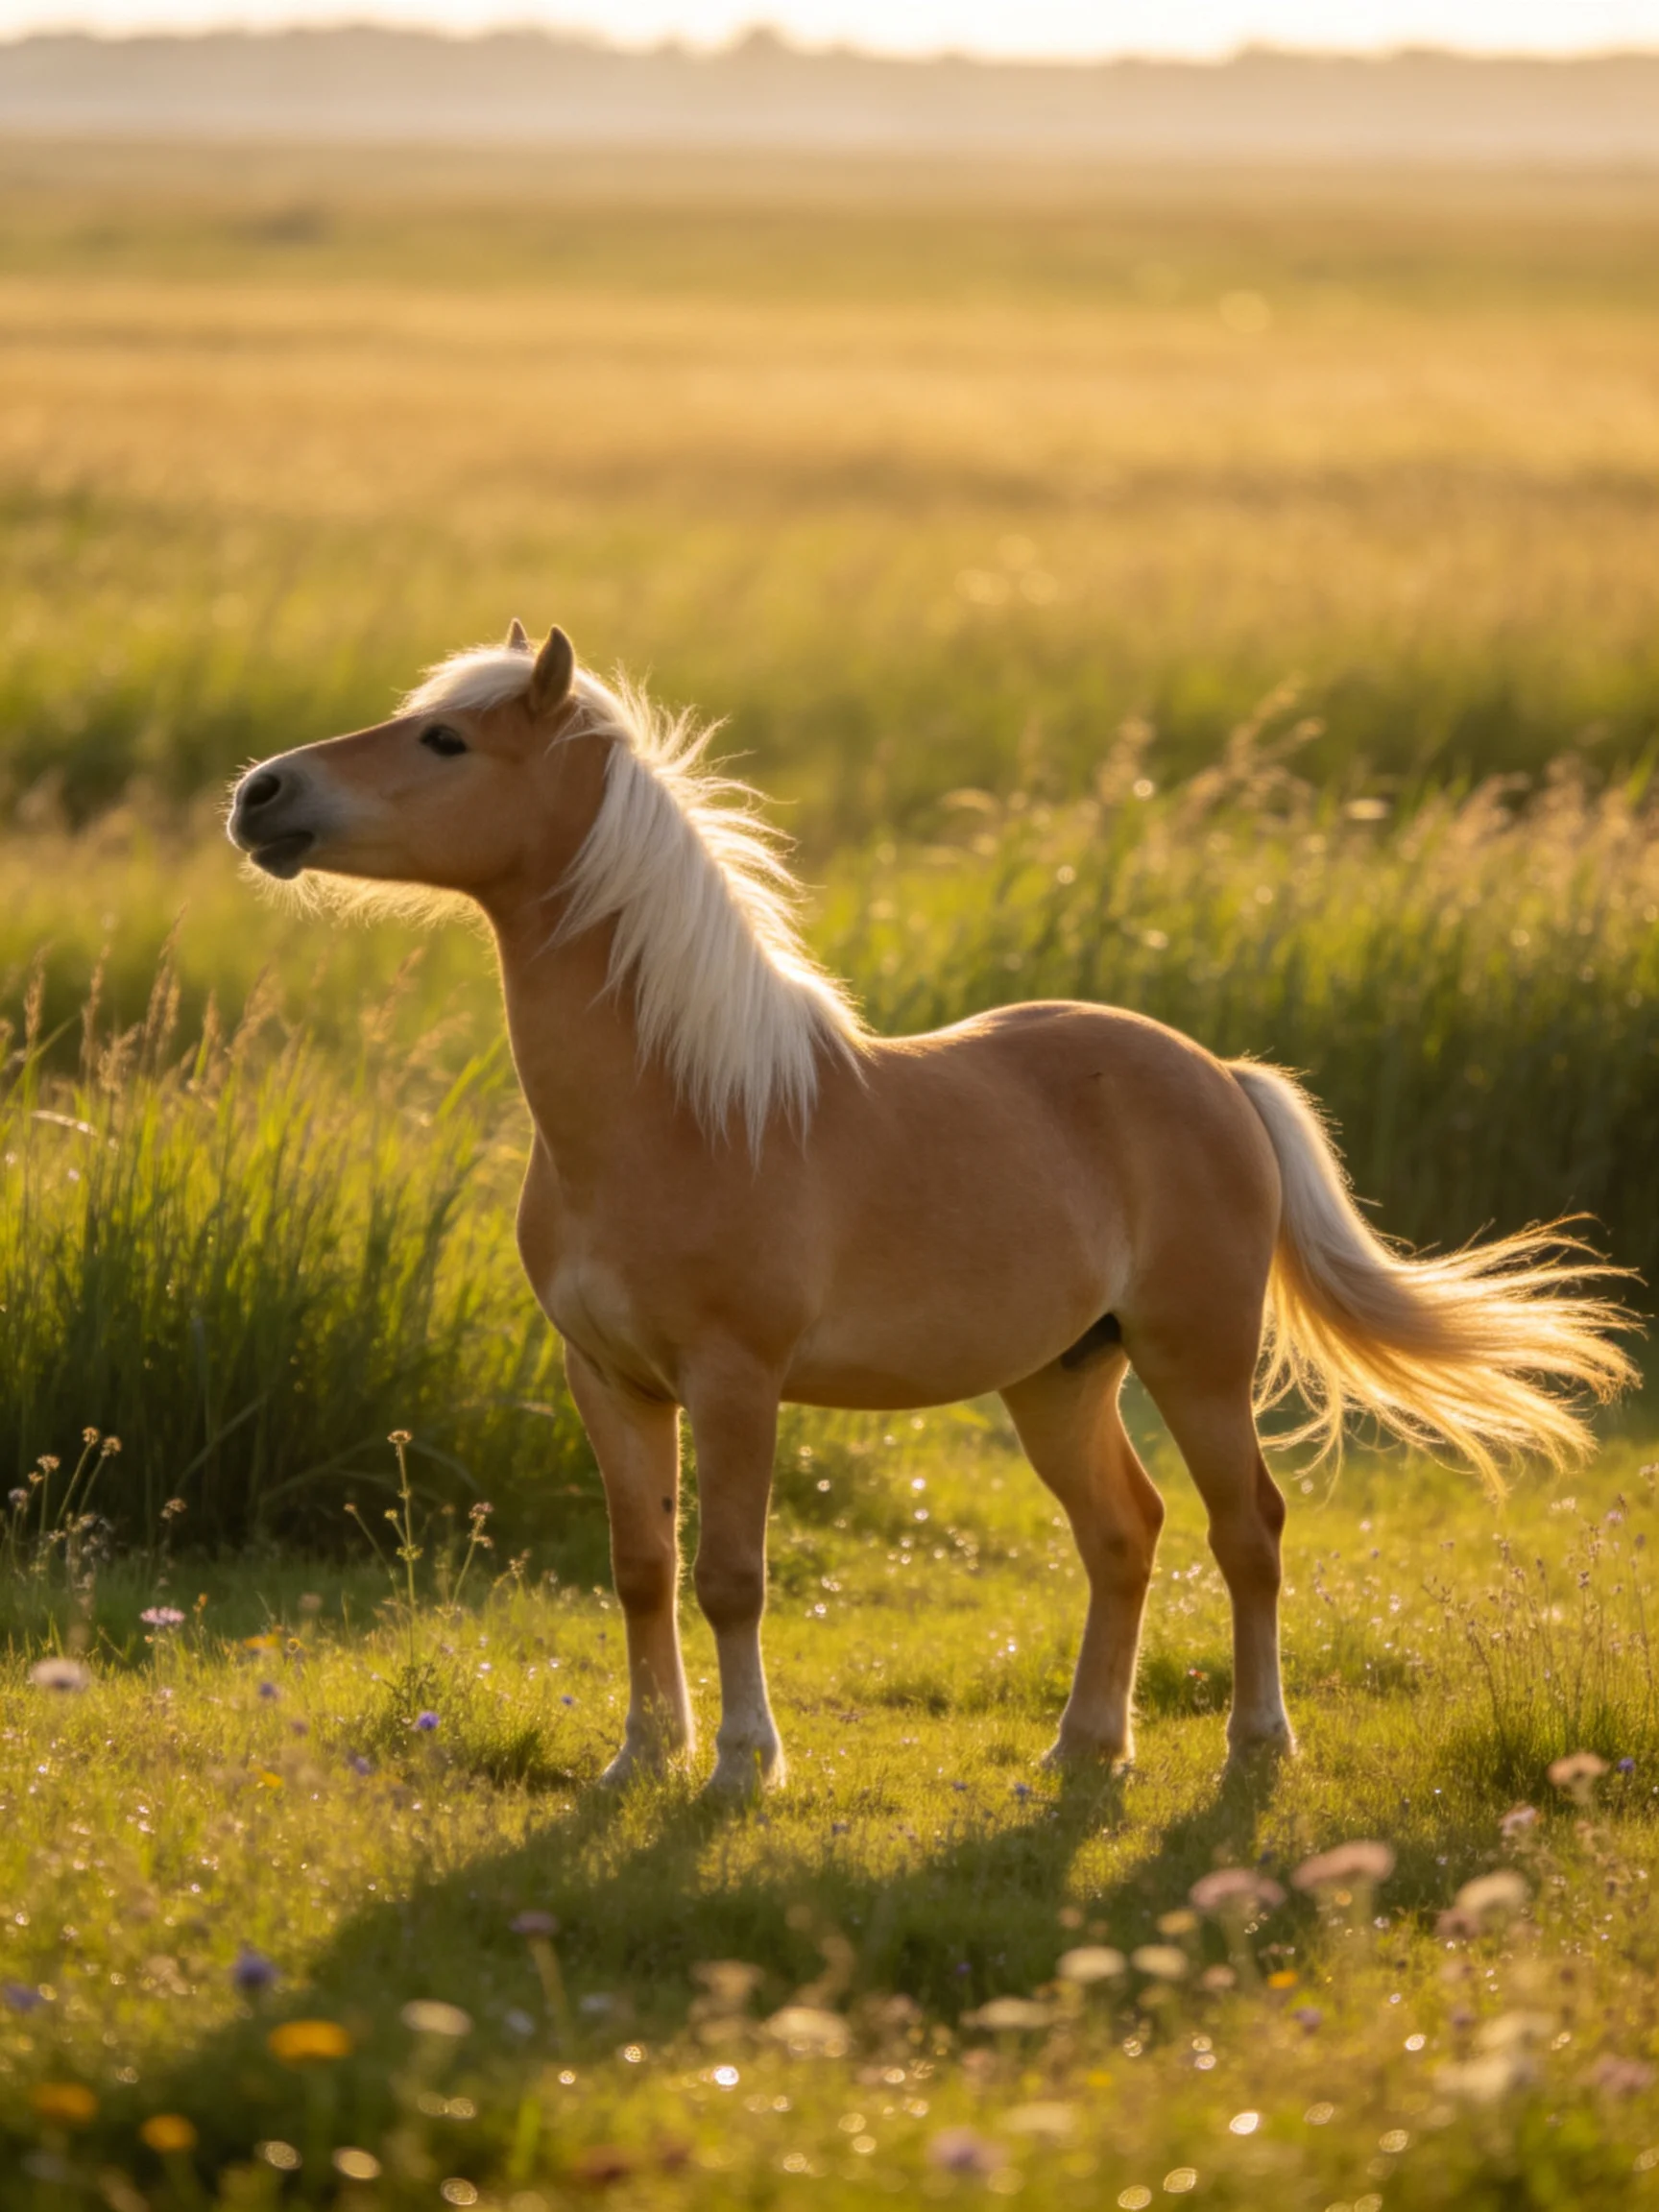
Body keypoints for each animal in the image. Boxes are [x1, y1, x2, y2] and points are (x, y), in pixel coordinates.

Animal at [227, 621, 1635, 1794]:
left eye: (445, 741)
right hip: (1062, 1375)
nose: (261, 796)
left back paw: (1255, 1746)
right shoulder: (609, 1379)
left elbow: (732, 1577)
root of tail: (1217, 1074)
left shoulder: (735, 1380)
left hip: (1196, 1358)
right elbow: (642, 1571)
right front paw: (640, 1761)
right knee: (1124, 1534)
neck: (677, 1110)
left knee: (1249, 1531)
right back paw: (1084, 1751)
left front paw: (742, 1767)